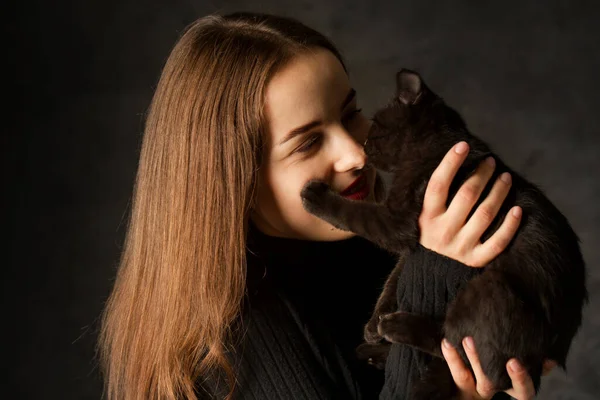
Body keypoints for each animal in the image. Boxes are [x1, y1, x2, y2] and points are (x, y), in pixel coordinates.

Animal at [300, 70, 584, 398]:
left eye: (377, 127)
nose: (364, 148)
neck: (438, 144)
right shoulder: (418, 242)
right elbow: (395, 277)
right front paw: (372, 322)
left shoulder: (396, 220)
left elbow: (353, 213)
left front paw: (315, 196)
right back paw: (373, 349)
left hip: (492, 287)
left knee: (457, 348)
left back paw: (396, 328)